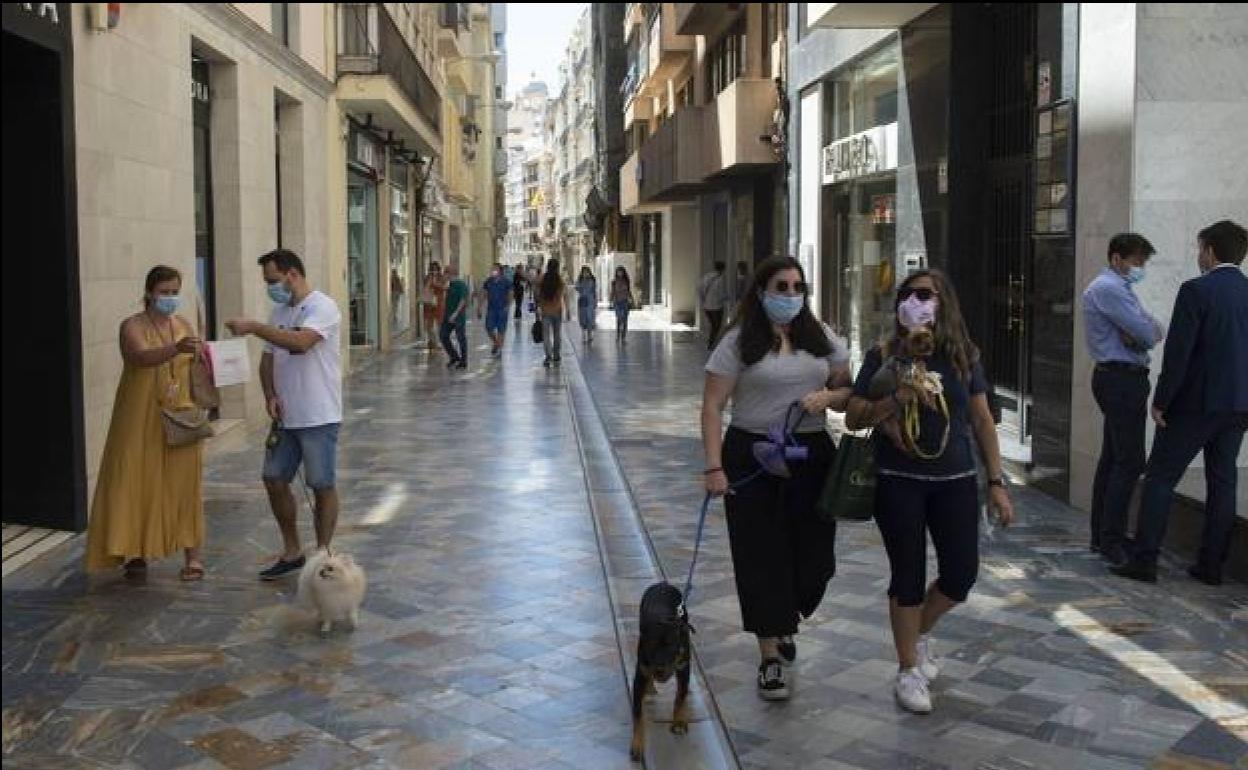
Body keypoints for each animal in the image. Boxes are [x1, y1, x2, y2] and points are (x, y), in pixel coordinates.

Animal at [633, 579, 693, 758]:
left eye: (672, 647)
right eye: (651, 647)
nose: (660, 669)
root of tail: (662, 583)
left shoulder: (683, 667)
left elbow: (680, 697)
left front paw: (678, 721)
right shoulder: (641, 671)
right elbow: (637, 714)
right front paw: (637, 744)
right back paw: (650, 687)